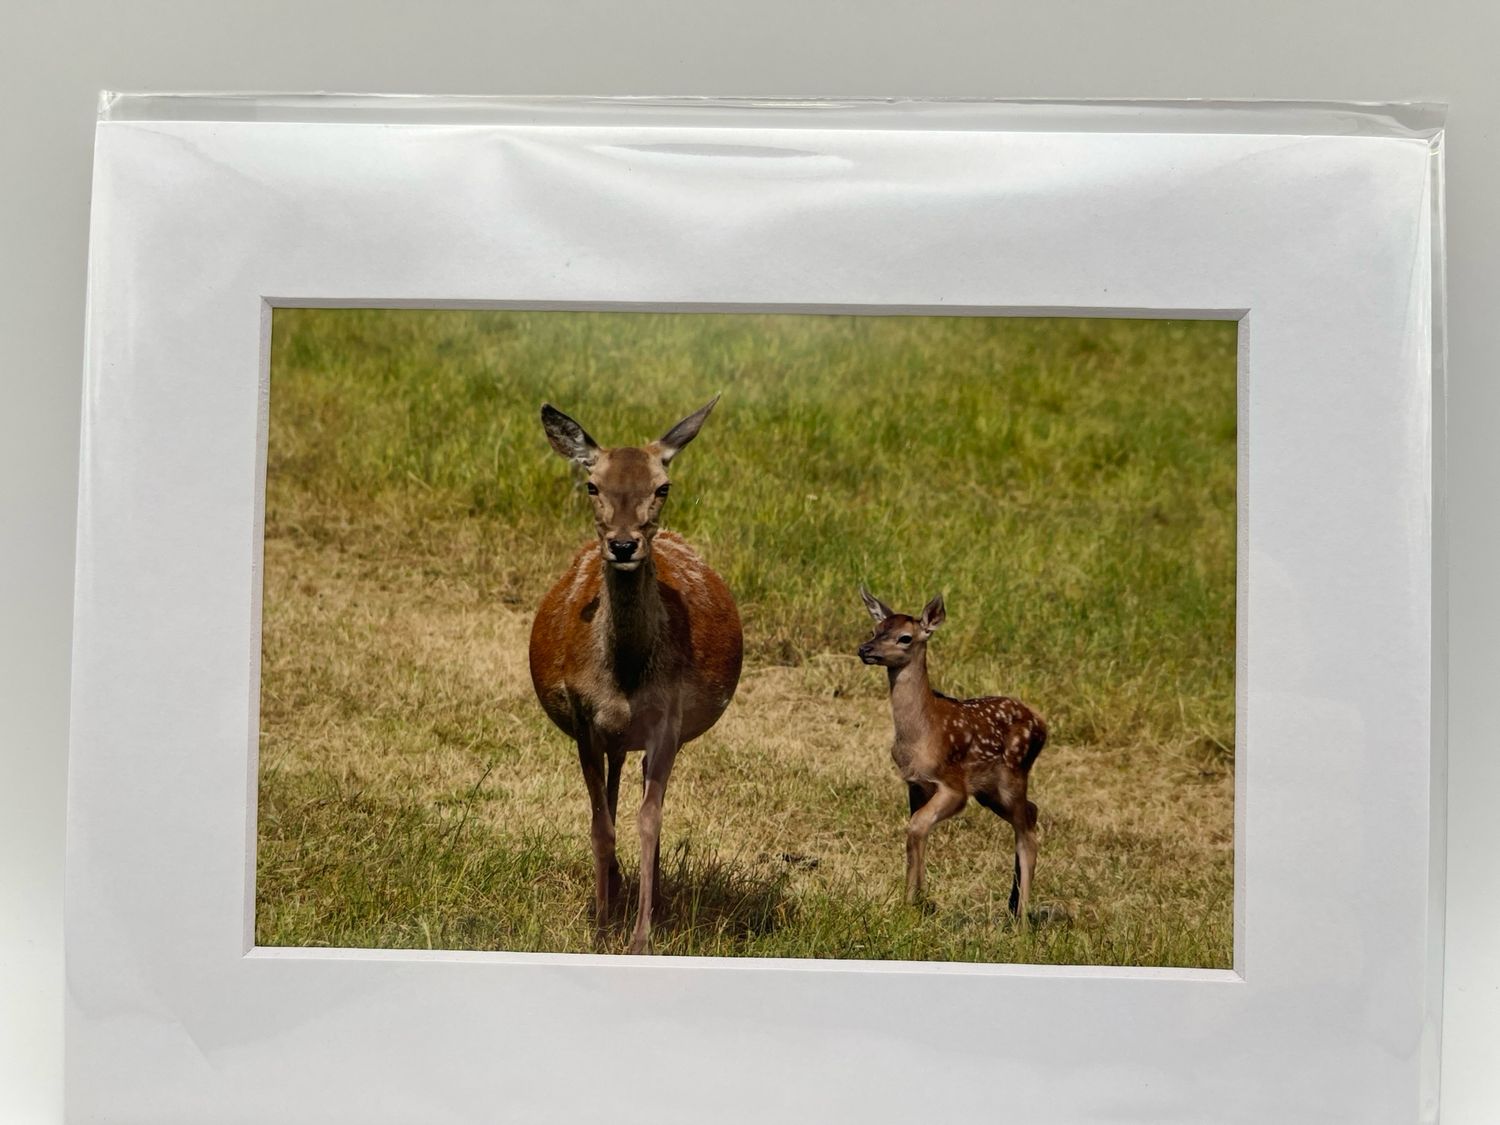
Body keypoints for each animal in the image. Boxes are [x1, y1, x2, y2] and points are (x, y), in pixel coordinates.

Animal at [528, 396, 743, 954]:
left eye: (662, 486)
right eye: (591, 485)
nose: (624, 546)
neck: (622, 676)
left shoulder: (668, 718)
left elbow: (649, 820)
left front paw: (641, 937)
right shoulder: (582, 714)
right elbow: (600, 822)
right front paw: (602, 927)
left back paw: (652, 898)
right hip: (610, 736)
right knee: (610, 791)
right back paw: (614, 888)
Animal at [857, 588, 1046, 922]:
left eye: (905, 637)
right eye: (875, 630)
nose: (864, 649)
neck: (922, 733)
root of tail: (1044, 727)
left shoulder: (954, 785)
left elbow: (916, 825)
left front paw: (913, 903)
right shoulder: (916, 783)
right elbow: (915, 829)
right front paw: (914, 901)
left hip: (1012, 775)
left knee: (1028, 835)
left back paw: (1021, 920)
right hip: (990, 791)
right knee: (1032, 813)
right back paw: (1012, 905)